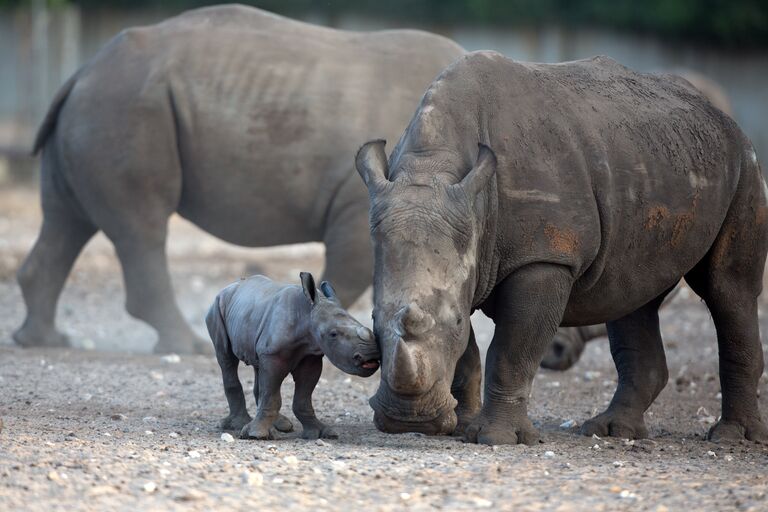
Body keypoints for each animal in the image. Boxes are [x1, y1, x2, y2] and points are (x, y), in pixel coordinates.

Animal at [15, 4, 464, 354]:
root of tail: (82, 71)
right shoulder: (366, 202)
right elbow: (350, 276)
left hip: (98, 108)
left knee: (67, 220)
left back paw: (44, 341)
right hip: (125, 105)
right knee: (141, 228)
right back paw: (187, 347)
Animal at [208, 272, 380, 440]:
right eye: (333, 334)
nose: (371, 355)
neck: (307, 314)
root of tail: (227, 288)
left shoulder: (311, 356)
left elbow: (302, 397)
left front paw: (321, 433)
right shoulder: (273, 355)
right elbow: (272, 396)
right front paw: (256, 434)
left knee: (258, 366)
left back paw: (282, 426)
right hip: (216, 308)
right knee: (226, 358)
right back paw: (240, 425)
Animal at [356, 51, 764, 444]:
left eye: (454, 320)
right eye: (373, 319)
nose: (407, 421)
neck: (432, 169)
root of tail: (721, 115)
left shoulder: (545, 257)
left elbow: (511, 351)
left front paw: (494, 437)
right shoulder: (460, 250)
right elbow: (467, 353)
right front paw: (460, 426)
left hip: (743, 162)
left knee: (728, 289)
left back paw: (730, 438)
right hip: (650, 160)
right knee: (633, 297)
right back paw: (611, 431)